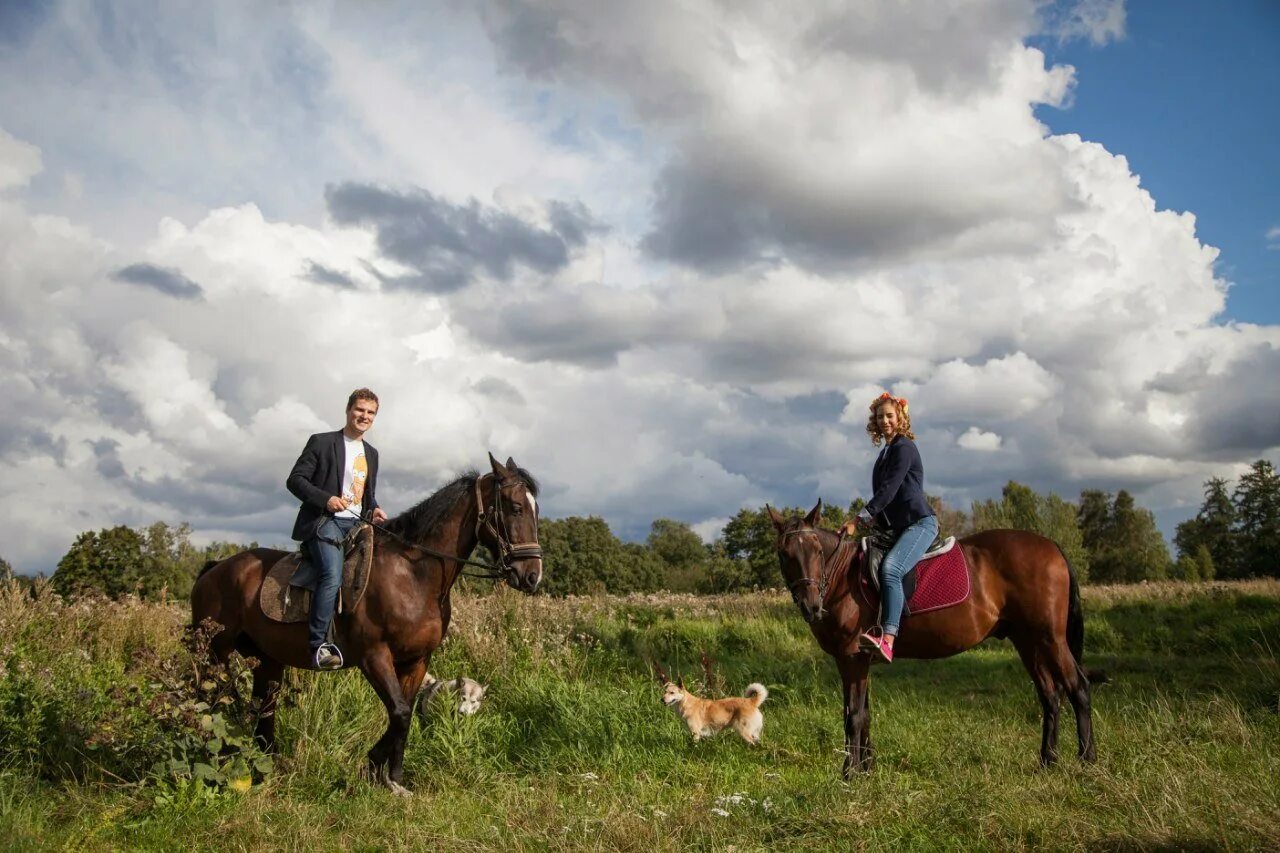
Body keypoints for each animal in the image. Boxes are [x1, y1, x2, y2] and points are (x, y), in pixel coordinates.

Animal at [189, 450, 540, 788]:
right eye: (515, 508)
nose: (532, 575)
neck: (412, 575)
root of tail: (215, 569)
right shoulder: (374, 656)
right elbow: (400, 712)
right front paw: (375, 768)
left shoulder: (417, 660)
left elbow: (404, 713)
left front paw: (391, 776)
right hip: (216, 653)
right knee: (212, 700)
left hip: (267, 659)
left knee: (264, 708)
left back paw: (269, 767)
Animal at [762, 499, 1095, 778]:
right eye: (784, 554)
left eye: (818, 552)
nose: (811, 606)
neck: (845, 578)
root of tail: (1051, 546)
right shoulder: (859, 661)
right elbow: (865, 714)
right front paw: (867, 770)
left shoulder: (852, 658)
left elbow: (853, 716)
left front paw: (850, 774)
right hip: (1028, 641)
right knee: (1050, 695)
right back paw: (1047, 762)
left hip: (1050, 638)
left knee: (1078, 687)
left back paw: (1086, 760)